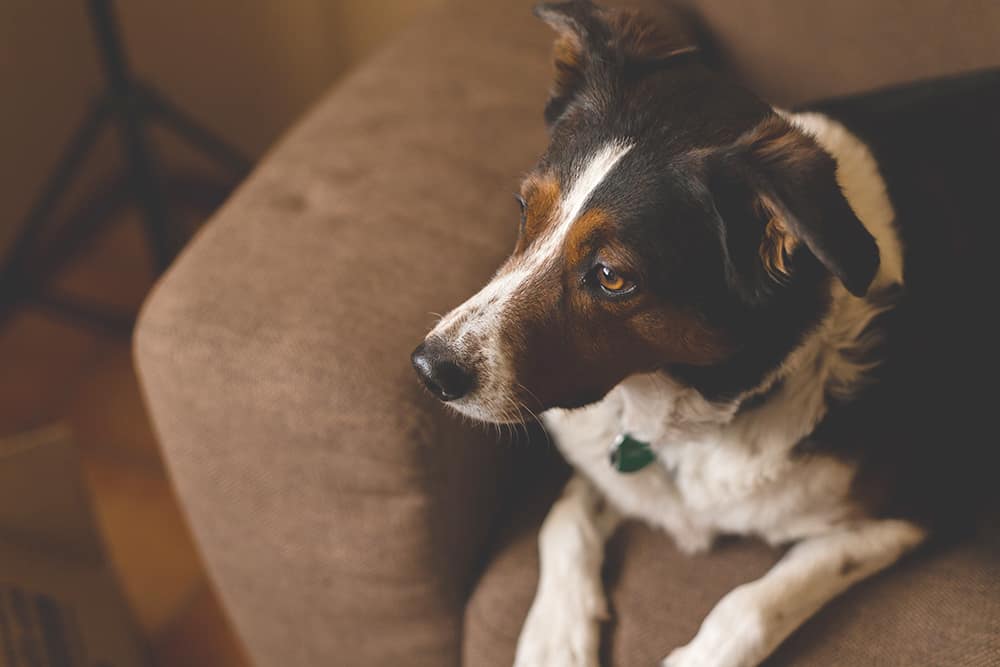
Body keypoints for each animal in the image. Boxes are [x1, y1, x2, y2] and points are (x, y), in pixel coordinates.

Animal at [408, 2, 984, 664]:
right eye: (526, 210)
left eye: (611, 277)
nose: (428, 370)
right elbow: (563, 519)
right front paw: (555, 638)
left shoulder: (908, 510)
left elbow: (753, 602)